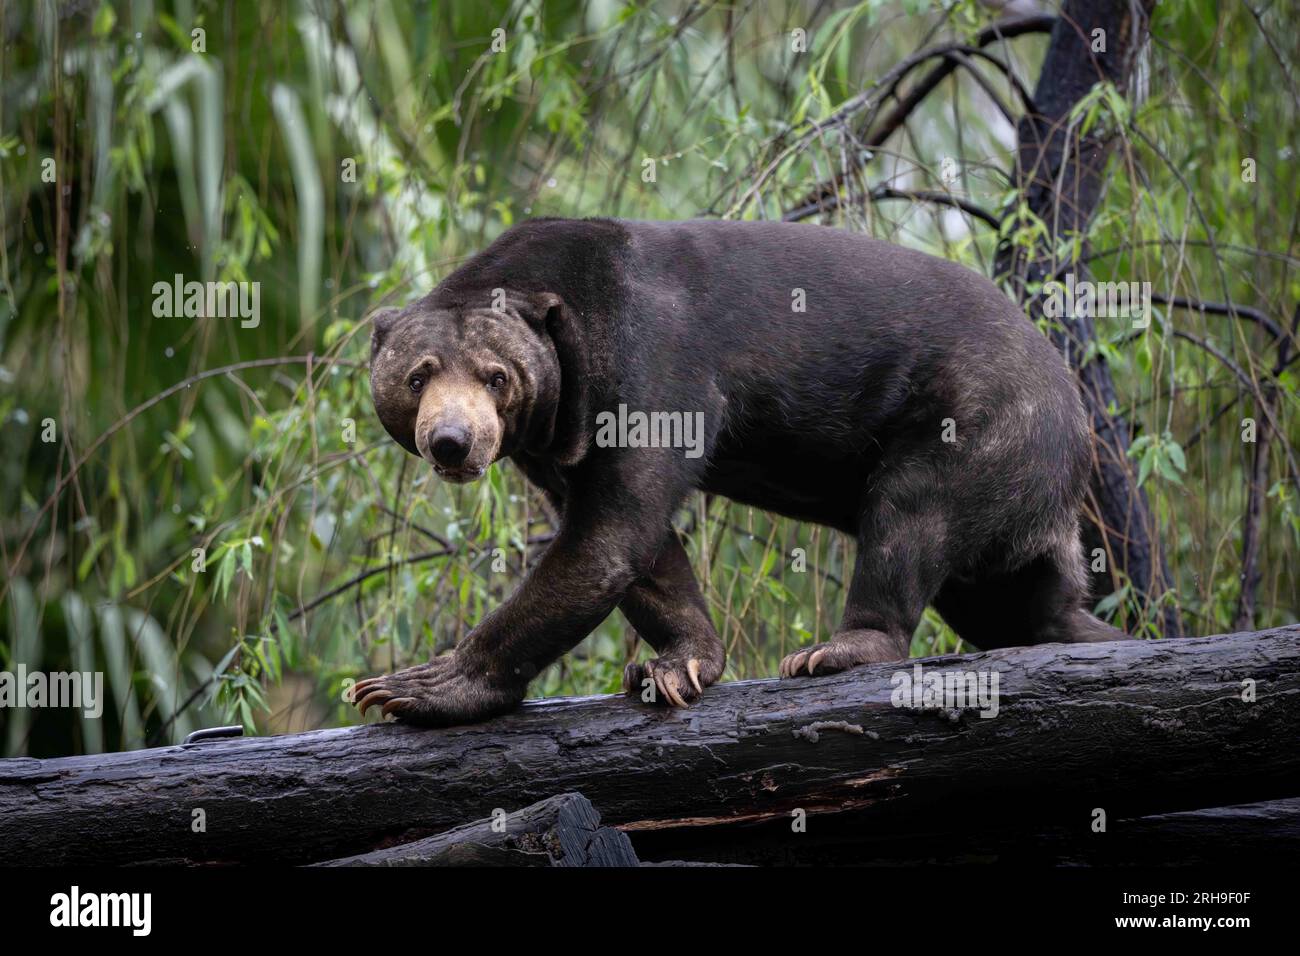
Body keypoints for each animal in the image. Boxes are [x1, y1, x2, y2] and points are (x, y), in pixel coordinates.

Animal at [352, 217, 1126, 726]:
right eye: (418, 378)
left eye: (497, 376)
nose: (453, 443)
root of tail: (1074, 419)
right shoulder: (556, 443)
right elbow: (641, 551)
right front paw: (674, 666)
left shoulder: (654, 365)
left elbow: (609, 535)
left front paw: (408, 686)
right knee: (1016, 602)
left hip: (977, 421)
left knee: (910, 520)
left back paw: (834, 651)